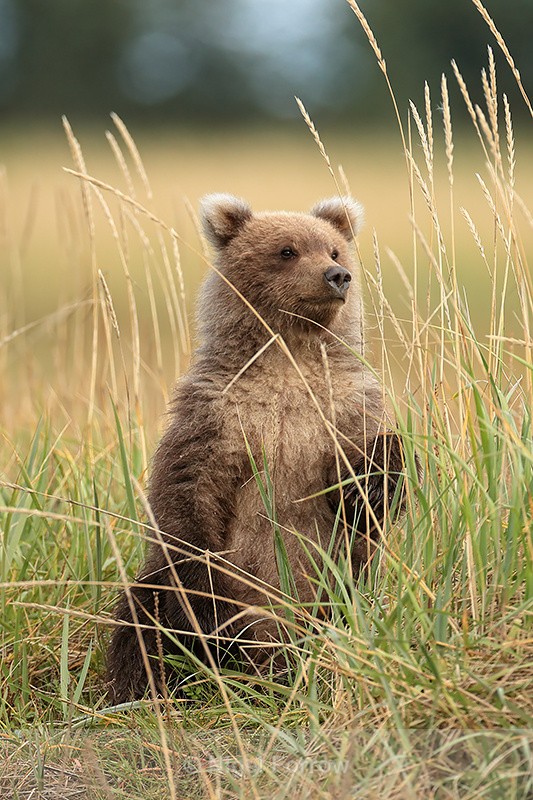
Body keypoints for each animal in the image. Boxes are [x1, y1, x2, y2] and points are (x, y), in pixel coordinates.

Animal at [106, 194, 410, 703]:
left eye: (334, 249)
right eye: (287, 250)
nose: (336, 276)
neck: (290, 355)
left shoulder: (344, 406)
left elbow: (358, 487)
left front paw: (380, 469)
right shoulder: (217, 414)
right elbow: (189, 497)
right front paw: (209, 616)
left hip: (341, 593)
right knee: (145, 612)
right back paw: (146, 685)